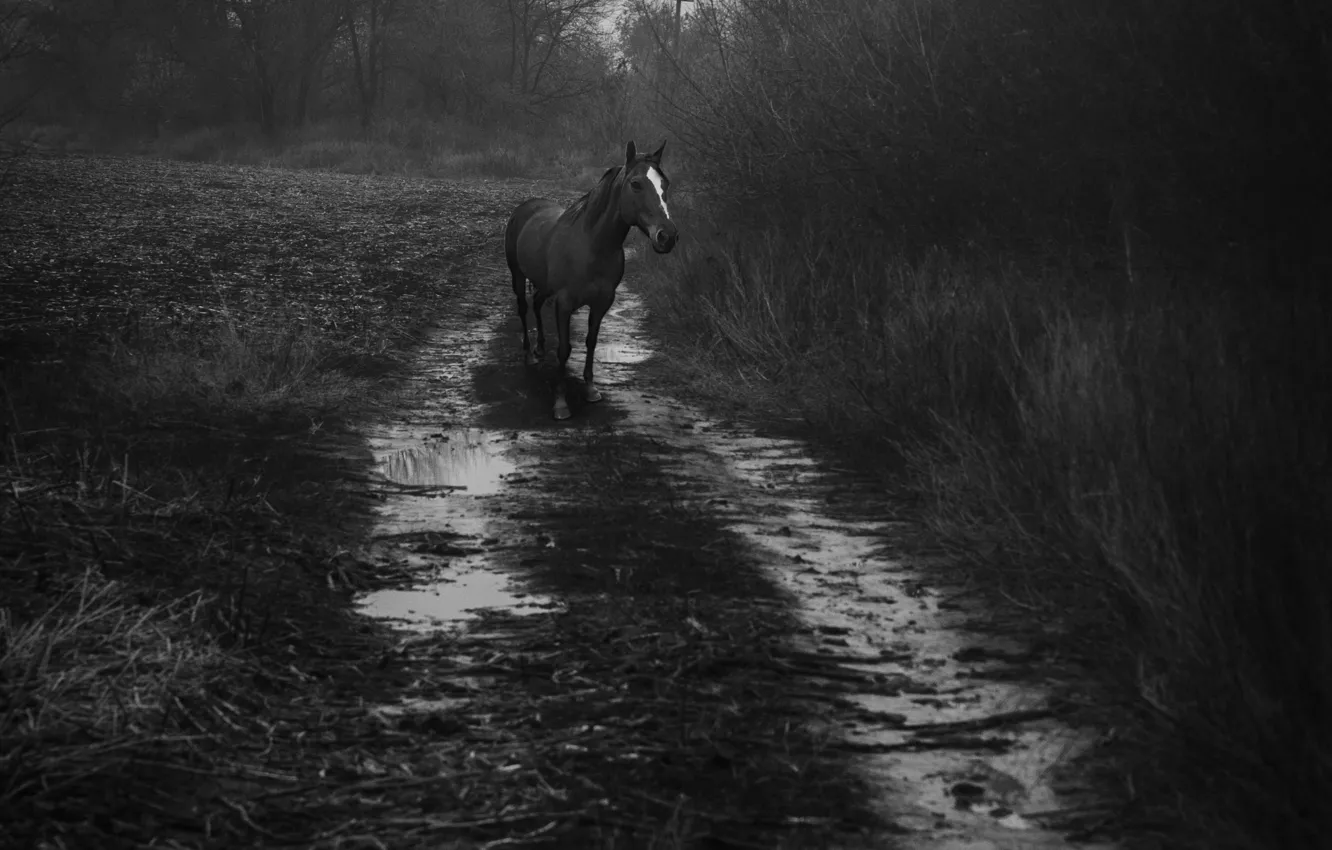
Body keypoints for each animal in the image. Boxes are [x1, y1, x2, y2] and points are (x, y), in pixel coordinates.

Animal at [504, 140, 678, 420]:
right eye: (636, 184)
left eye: (666, 184)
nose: (667, 236)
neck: (591, 246)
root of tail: (525, 207)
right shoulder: (564, 303)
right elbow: (564, 350)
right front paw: (561, 404)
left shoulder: (602, 302)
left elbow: (591, 342)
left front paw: (590, 390)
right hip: (517, 275)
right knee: (523, 307)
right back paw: (530, 355)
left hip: (544, 285)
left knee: (537, 303)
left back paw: (540, 347)